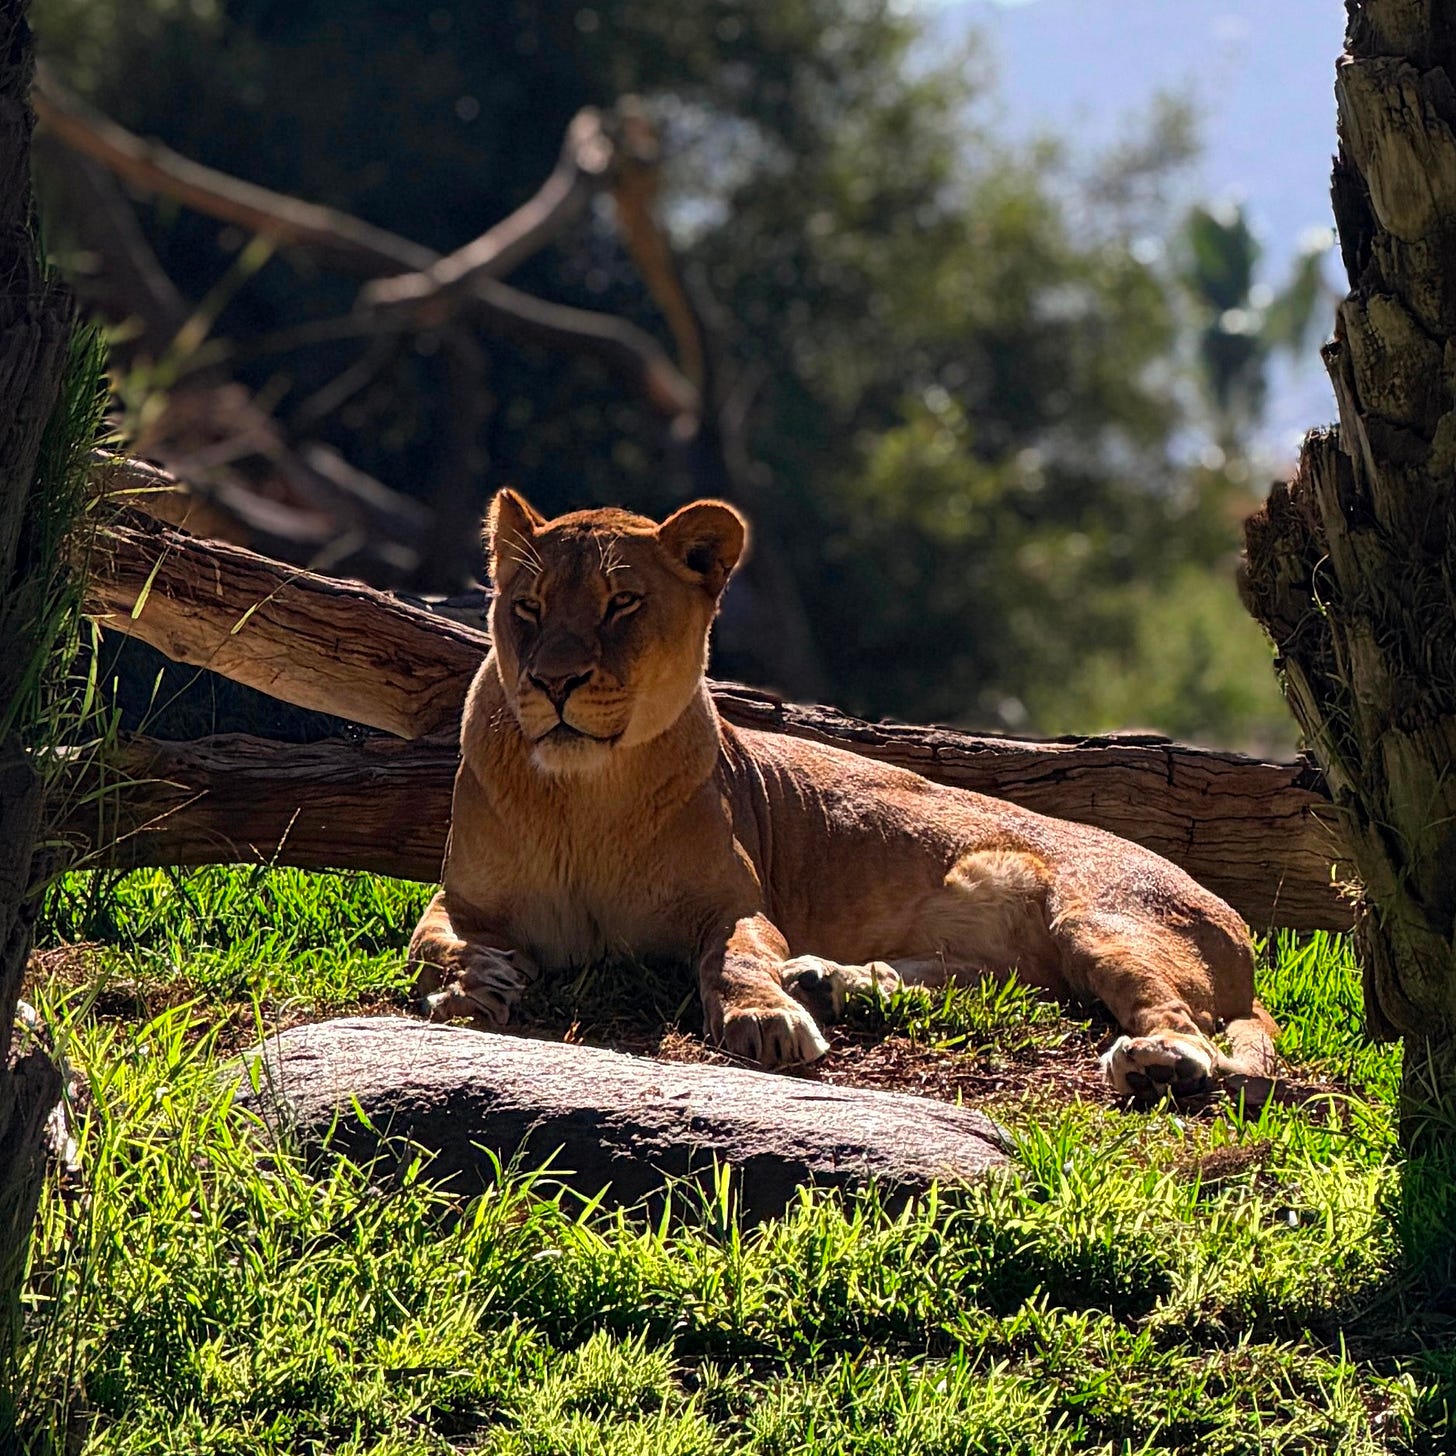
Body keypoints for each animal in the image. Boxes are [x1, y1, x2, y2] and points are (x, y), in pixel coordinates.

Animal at [408, 490, 1278, 1099]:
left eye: (622, 603)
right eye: (527, 608)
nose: (552, 681)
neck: (583, 798)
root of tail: (1237, 925)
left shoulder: (736, 905)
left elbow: (736, 957)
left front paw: (765, 1017)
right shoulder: (459, 896)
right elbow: (426, 943)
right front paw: (475, 981)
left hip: (1099, 920)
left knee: (1191, 1027)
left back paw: (1159, 1062)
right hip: (1025, 959)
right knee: (974, 978)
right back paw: (829, 979)